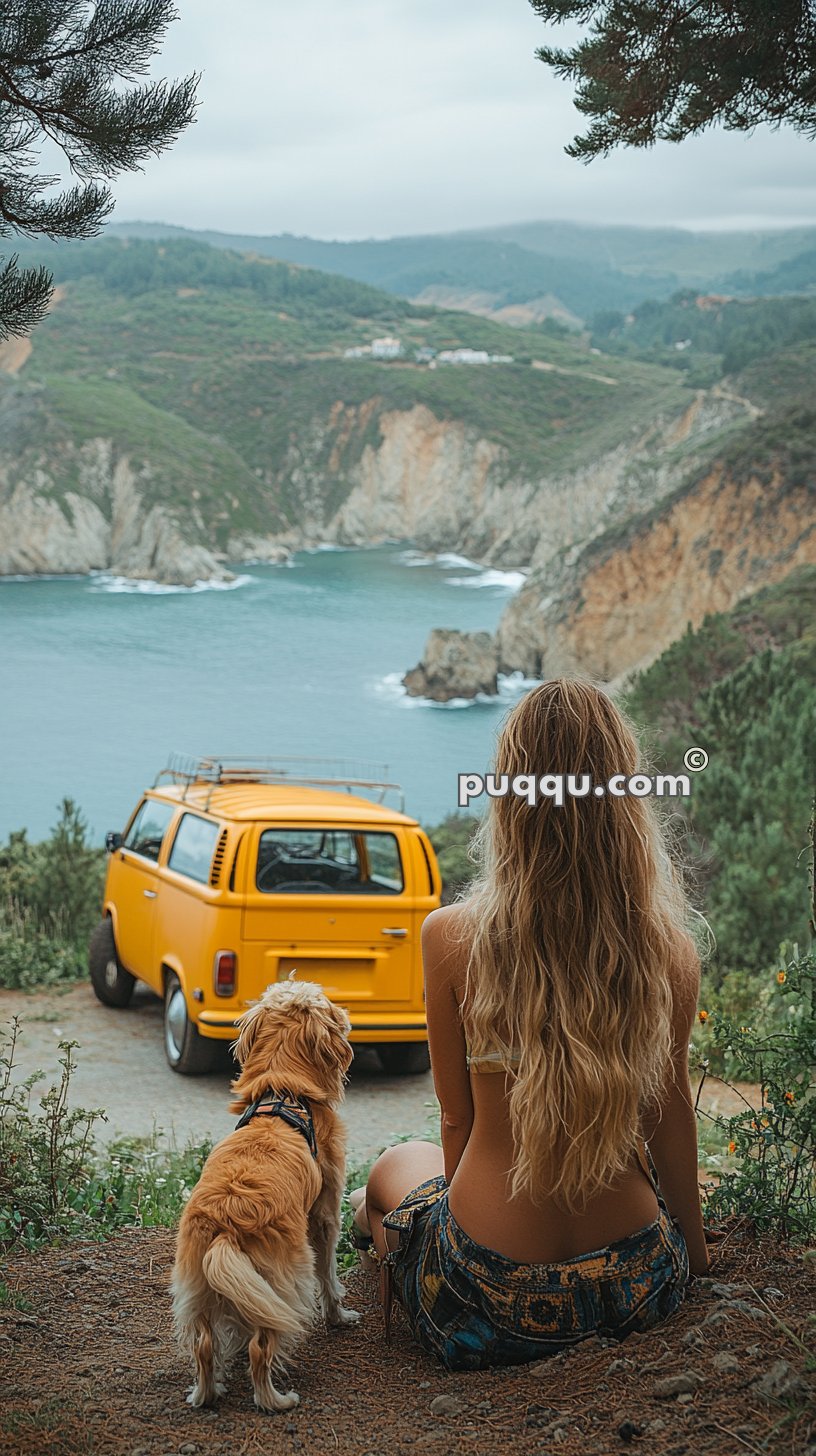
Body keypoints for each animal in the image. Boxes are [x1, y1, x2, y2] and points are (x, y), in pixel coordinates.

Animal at [170, 978, 358, 1409]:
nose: (346, 1014)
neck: (282, 1095)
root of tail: (226, 1225)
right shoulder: (325, 1217)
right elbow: (330, 1276)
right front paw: (339, 1318)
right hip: (286, 1277)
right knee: (262, 1347)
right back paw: (276, 1399)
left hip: (200, 1288)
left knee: (204, 1345)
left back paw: (206, 1393)